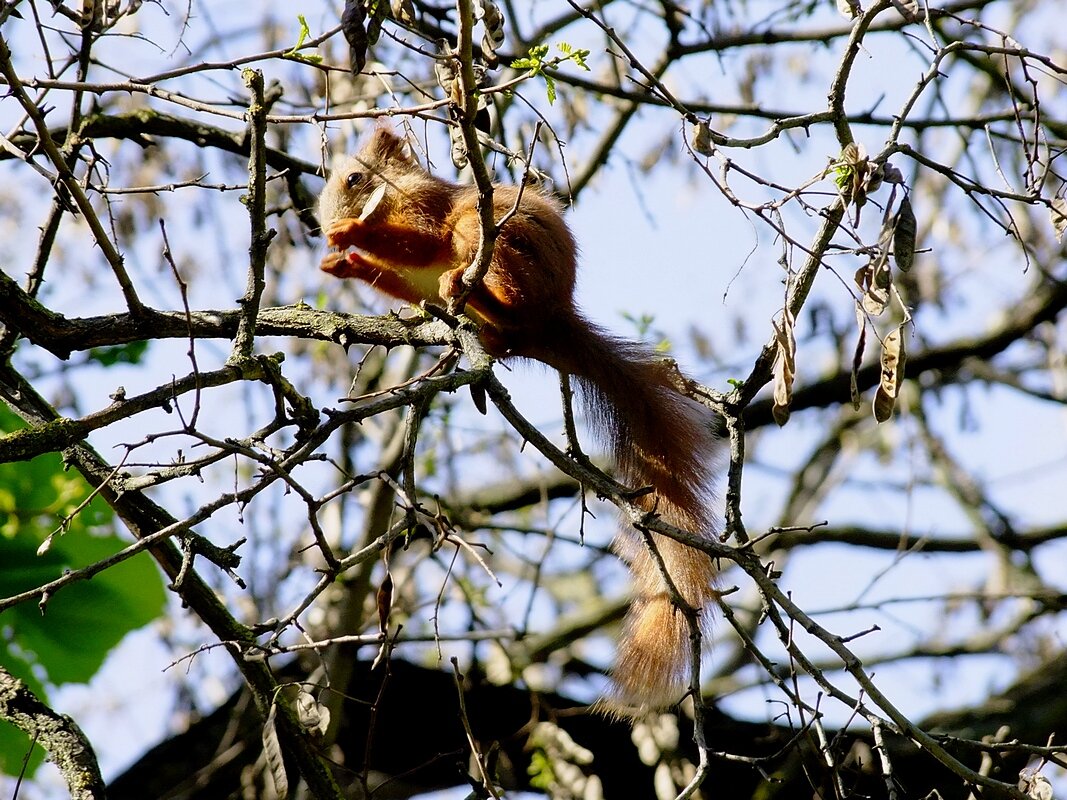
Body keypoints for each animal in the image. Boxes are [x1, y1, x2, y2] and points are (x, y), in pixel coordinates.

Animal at [311, 130, 721, 712]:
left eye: (355, 178)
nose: (326, 225)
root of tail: (553, 319)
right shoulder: (413, 286)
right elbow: (403, 280)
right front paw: (343, 264)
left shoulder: (429, 211)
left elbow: (420, 240)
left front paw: (354, 235)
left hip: (498, 242)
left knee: (485, 266)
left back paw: (481, 291)